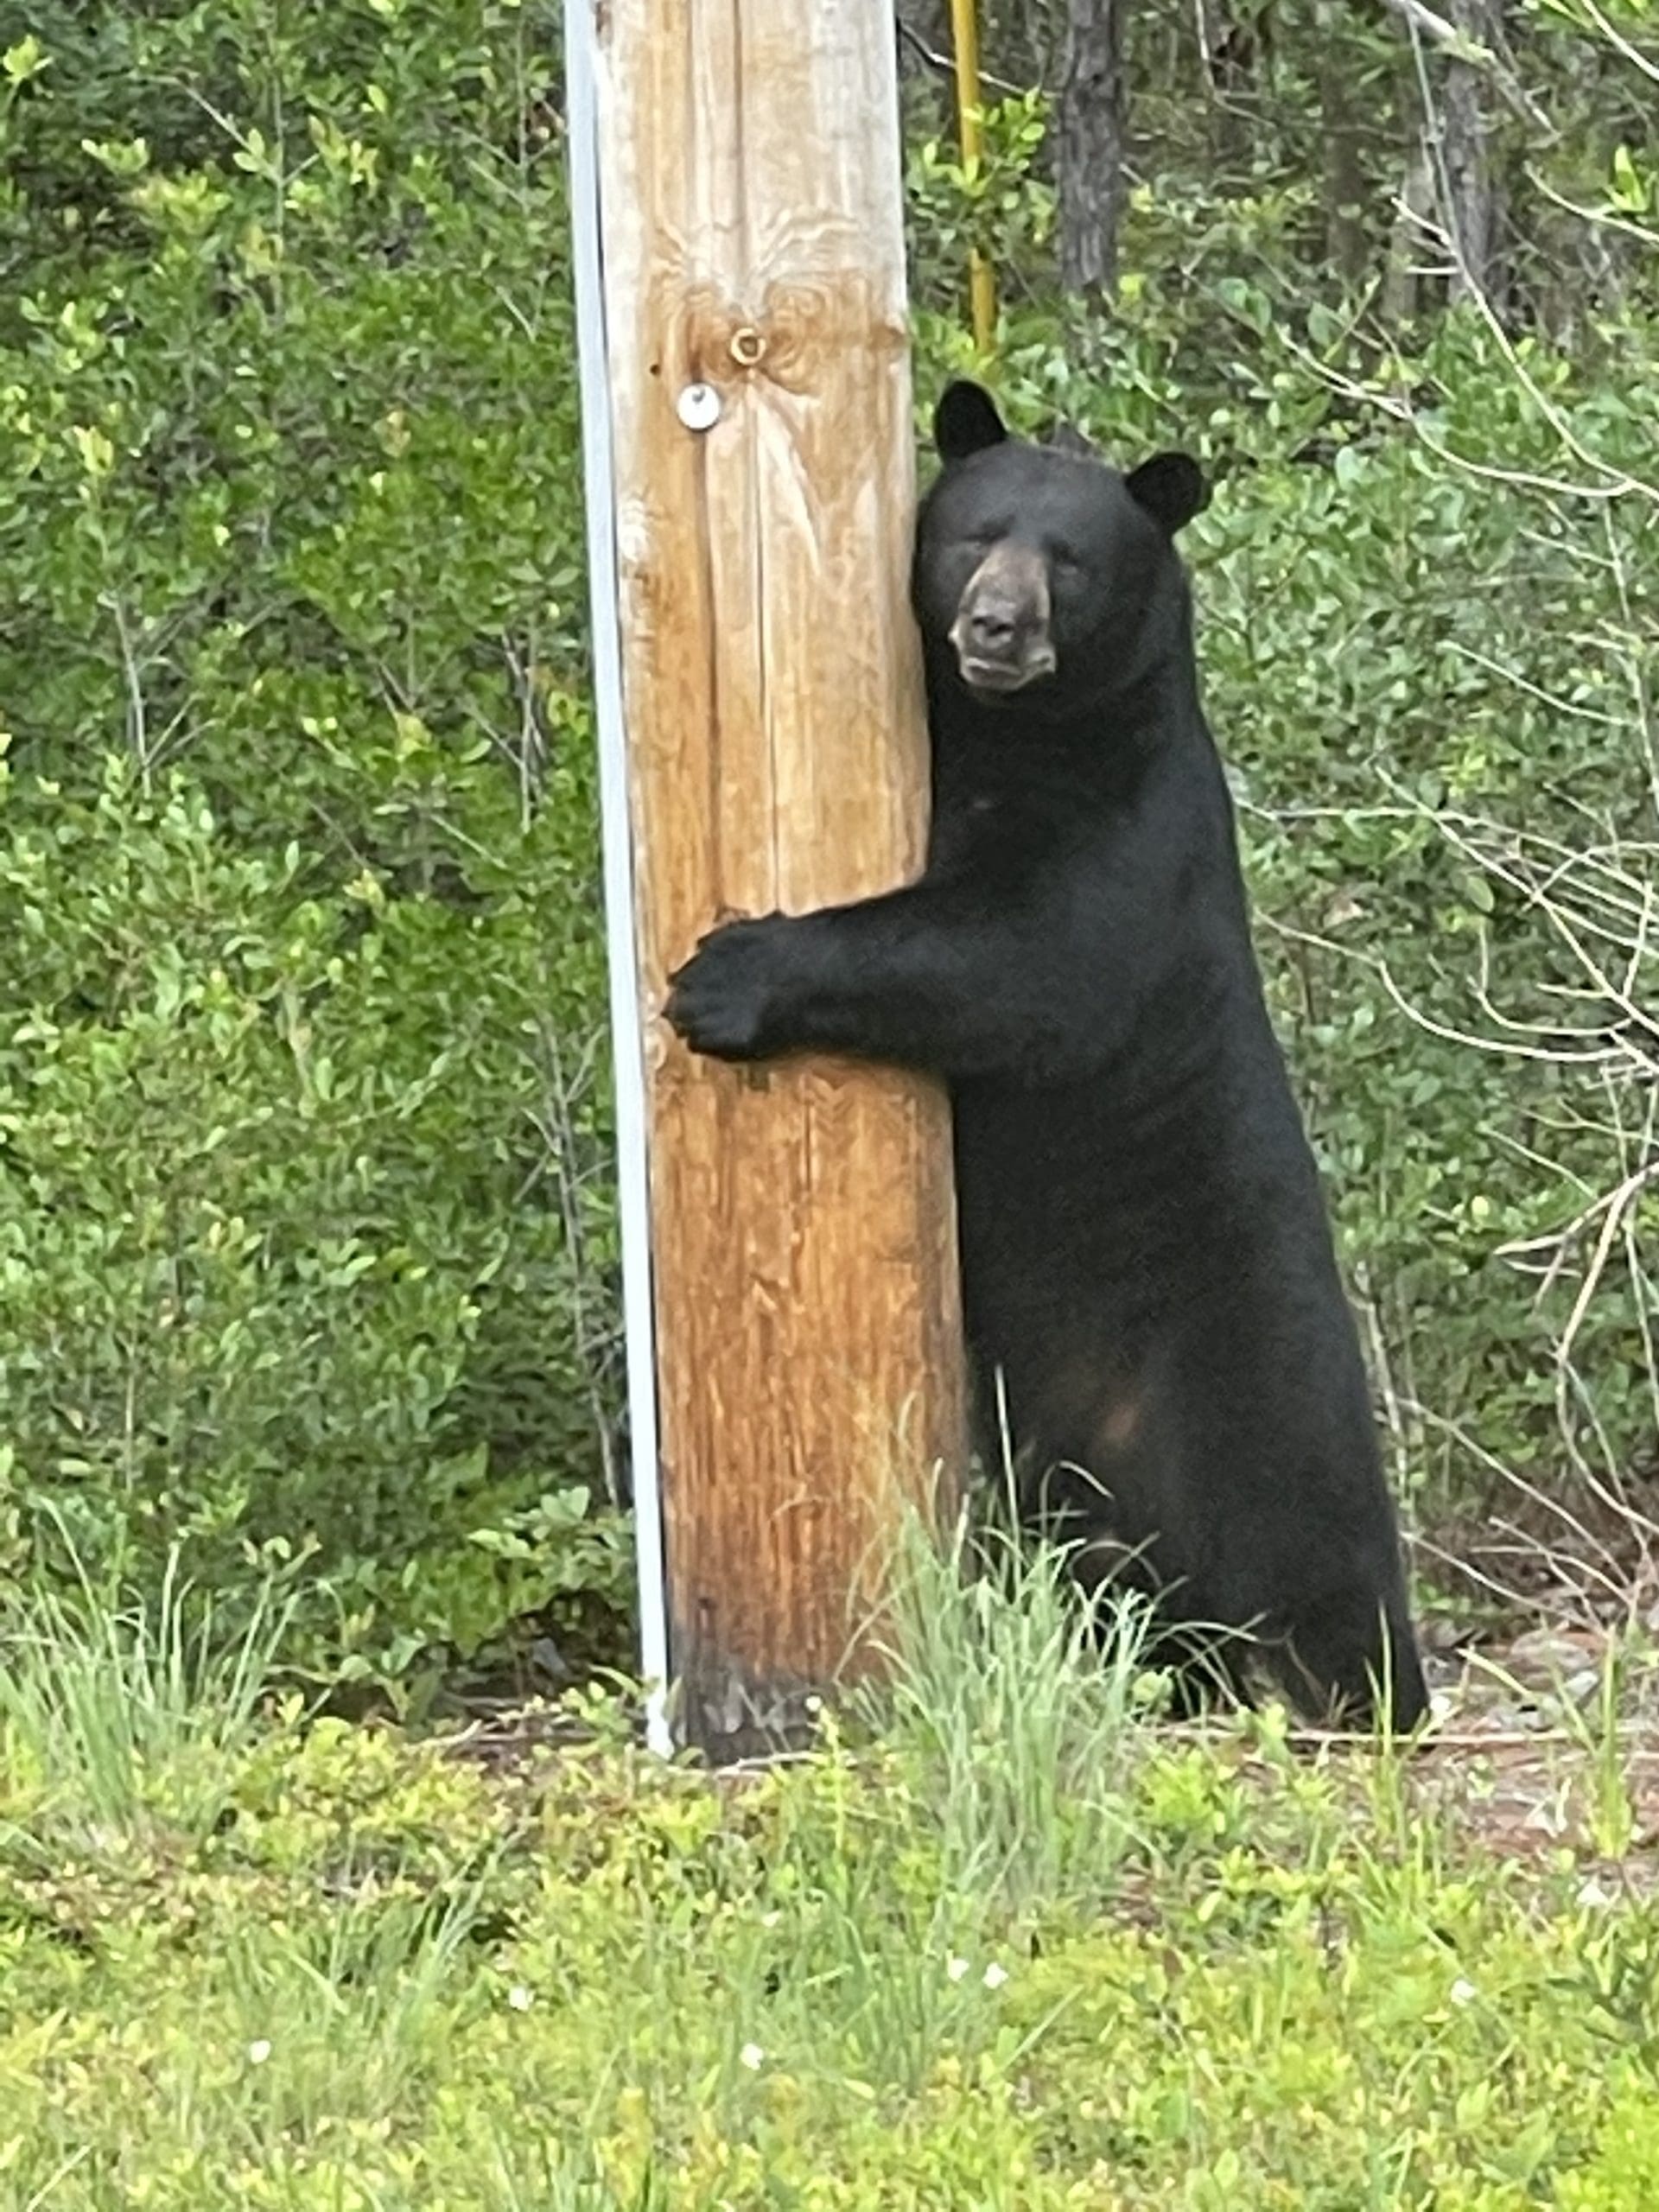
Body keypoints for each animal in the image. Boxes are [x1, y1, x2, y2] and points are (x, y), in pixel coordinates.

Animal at [663, 378, 1429, 1733]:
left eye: (1069, 559)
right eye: (974, 532)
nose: (999, 625)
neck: (1012, 732)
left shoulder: (1129, 829)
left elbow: (1018, 961)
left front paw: (732, 972)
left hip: (1259, 1373)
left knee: (1311, 1537)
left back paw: (1362, 1689)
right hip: (1063, 1472)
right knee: (1130, 1582)